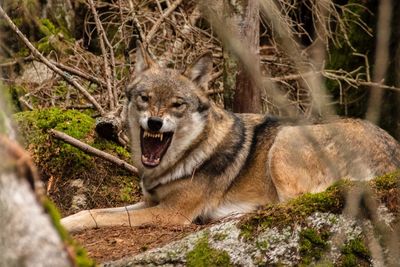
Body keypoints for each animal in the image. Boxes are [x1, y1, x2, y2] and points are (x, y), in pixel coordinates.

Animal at [61, 45, 400, 232]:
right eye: (145, 98)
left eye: (177, 105)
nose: (155, 122)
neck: (189, 154)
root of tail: (392, 155)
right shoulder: (149, 201)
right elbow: (91, 211)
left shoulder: (170, 213)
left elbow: (100, 217)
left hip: (286, 139)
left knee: (293, 202)